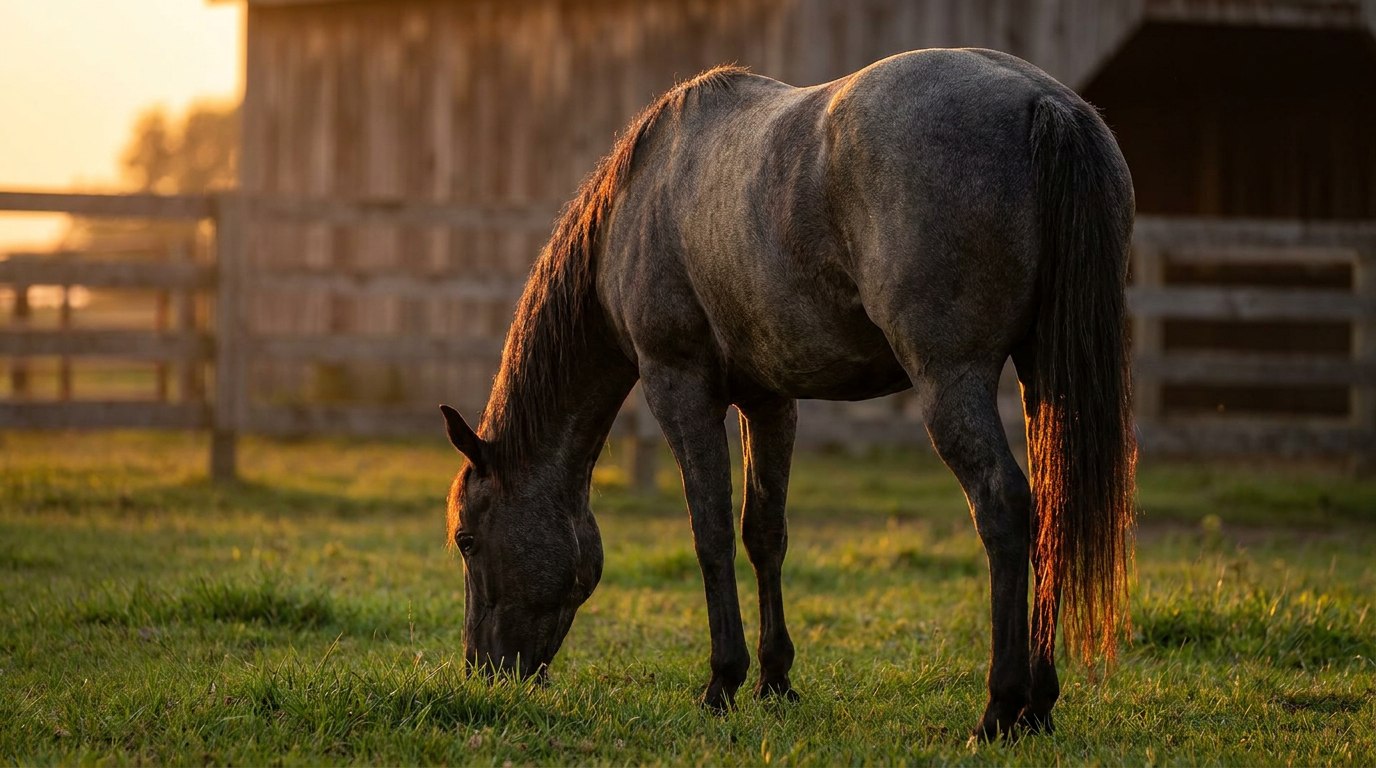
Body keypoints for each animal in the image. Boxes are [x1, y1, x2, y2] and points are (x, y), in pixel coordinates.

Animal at [440, 48, 1136, 741]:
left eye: (467, 540)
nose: (484, 671)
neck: (638, 201)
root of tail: (1045, 102)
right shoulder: (769, 400)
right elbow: (764, 532)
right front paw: (775, 679)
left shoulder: (678, 386)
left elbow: (711, 531)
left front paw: (722, 681)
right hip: (1042, 376)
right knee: (1051, 507)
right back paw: (1039, 705)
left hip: (952, 379)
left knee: (1002, 505)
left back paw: (999, 708)